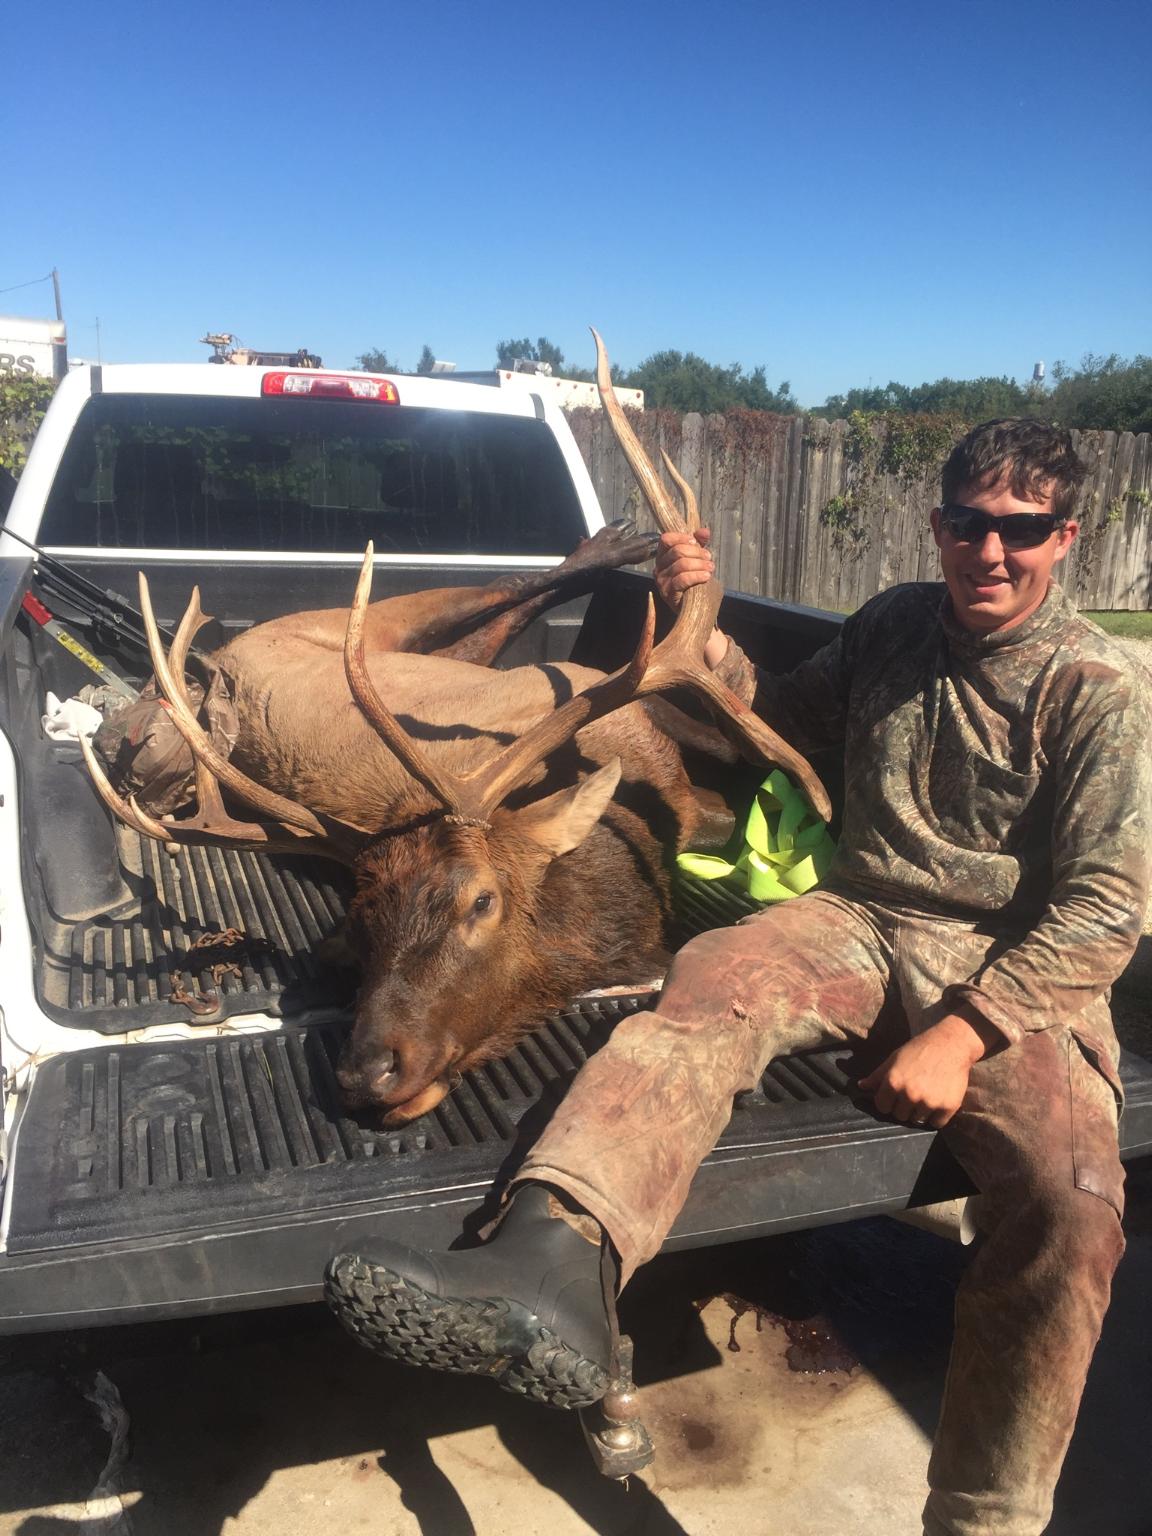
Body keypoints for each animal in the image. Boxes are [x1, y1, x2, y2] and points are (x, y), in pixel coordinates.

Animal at [81, 332, 829, 1126]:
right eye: (362, 918)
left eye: (482, 900)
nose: (367, 1071)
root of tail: (228, 652)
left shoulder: (653, 749)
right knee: (498, 610)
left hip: (387, 625)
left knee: (500, 589)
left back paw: (614, 546)